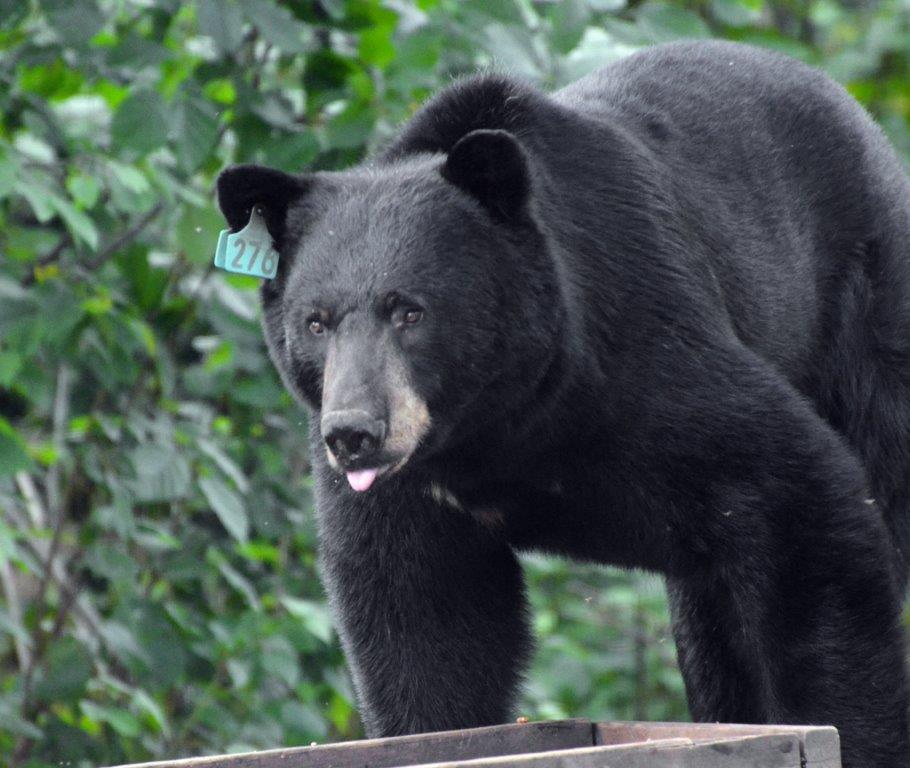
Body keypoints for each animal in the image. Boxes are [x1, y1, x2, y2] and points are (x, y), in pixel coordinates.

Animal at [216, 40, 910, 768]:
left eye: (409, 310)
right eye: (316, 322)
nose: (355, 434)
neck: (496, 425)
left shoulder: (649, 351)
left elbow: (808, 504)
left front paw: (848, 732)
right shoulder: (407, 490)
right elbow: (418, 614)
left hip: (864, 319)